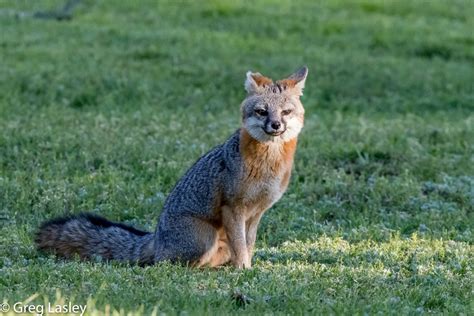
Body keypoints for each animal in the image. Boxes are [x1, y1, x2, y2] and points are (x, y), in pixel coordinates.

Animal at [38, 66, 312, 270]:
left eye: (286, 112)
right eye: (262, 111)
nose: (276, 125)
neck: (268, 165)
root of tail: (156, 237)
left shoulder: (256, 214)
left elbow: (249, 245)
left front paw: (248, 268)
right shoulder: (233, 208)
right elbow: (242, 247)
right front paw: (244, 271)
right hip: (205, 239)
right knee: (170, 264)